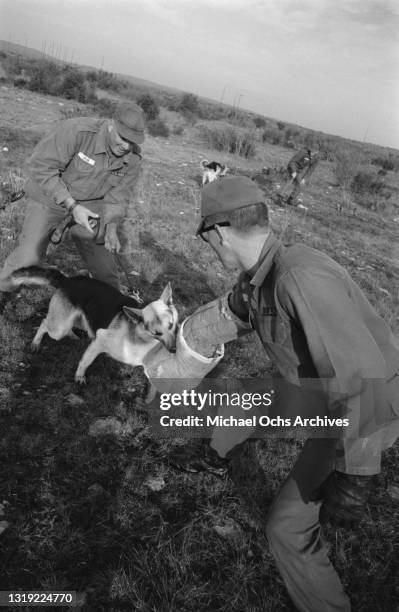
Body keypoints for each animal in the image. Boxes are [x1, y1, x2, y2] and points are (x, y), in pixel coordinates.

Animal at [10, 266, 180, 382]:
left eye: (172, 325)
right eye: (156, 332)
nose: (174, 350)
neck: (139, 335)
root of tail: (67, 280)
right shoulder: (98, 341)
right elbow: (85, 361)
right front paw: (79, 376)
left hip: (80, 320)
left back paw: (72, 336)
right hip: (58, 328)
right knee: (44, 323)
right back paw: (36, 342)